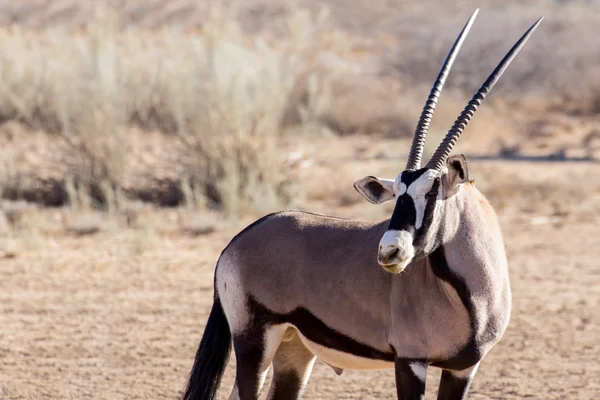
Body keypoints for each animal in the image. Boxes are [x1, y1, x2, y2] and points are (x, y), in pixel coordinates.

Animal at [183, 9, 544, 400]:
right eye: (397, 193)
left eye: (431, 193)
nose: (389, 251)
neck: (469, 293)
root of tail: (236, 242)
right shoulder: (410, 361)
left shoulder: (464, 368)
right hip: (255, 340)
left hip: (292, 349)